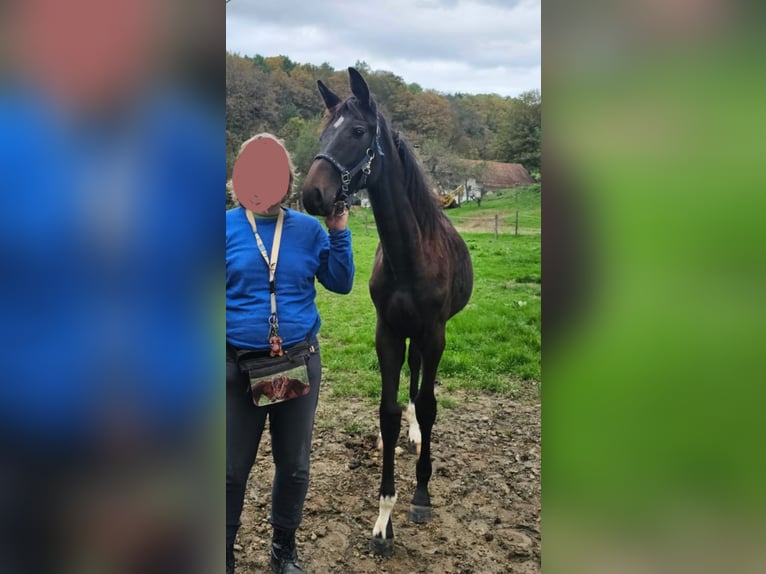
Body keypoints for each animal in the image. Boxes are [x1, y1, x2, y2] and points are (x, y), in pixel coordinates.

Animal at [302, 67, 474, 560]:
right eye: (324, 131)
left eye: (358, 132)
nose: (313, 194)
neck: (411, 255)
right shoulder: (388, 333)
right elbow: (387, 411)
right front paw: (383, 519)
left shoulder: (434, 333)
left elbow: (430, 406)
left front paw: (420, 495)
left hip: (427, 336)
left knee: (420, 381)